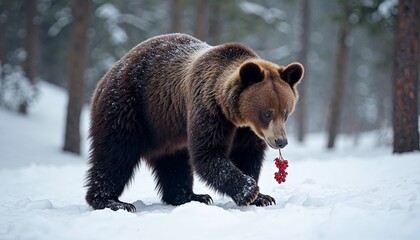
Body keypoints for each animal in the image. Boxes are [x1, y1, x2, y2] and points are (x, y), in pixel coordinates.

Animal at [85, 32, 304, 211]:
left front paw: (263, 197)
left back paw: (191, 196)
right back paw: (112, 201)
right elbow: (207, 153)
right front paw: (248, 190)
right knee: (115, 155)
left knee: (174, 162)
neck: (235, 116)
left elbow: (248, 155)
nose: (281, 141)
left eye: (286, 113)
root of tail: (107, 74)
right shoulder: (207, 108)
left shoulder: (247, 131)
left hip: (167, 129)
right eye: (267, 113)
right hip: (129, 108)